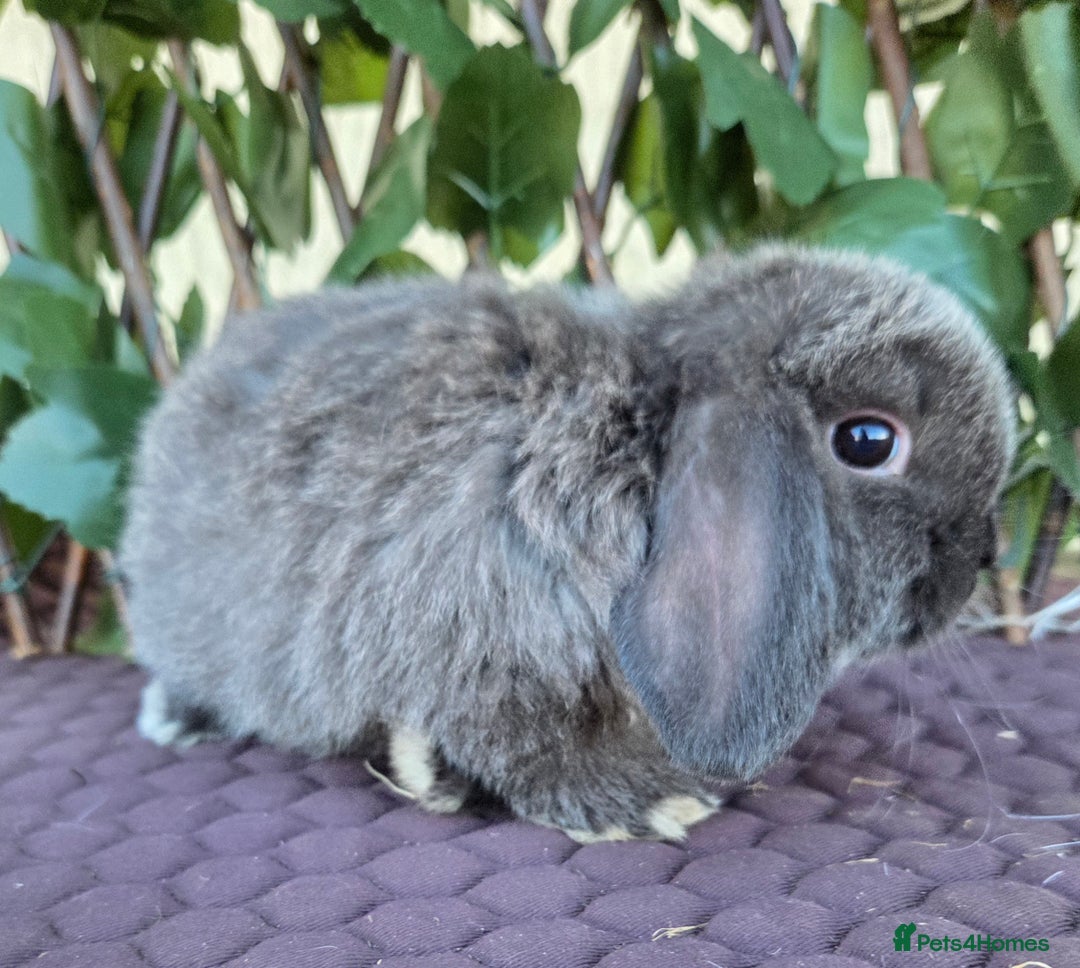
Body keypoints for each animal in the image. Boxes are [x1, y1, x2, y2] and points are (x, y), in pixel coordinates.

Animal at [121, 244, 1015, 842]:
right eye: (868, 441)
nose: (982, 559)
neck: (637, 439)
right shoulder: (485, 641)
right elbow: (532, 744)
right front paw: (653, 799)